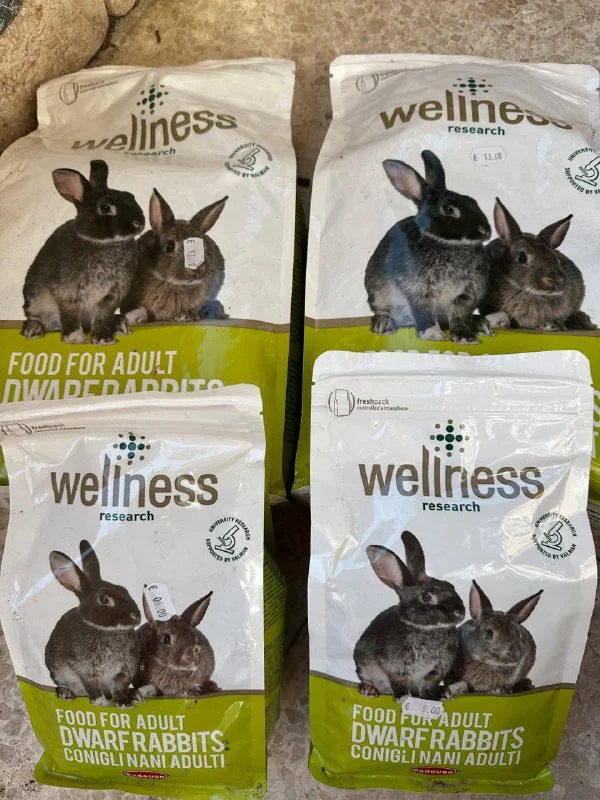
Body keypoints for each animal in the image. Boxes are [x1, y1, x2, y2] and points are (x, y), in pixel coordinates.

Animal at [21, 160, 145, 345]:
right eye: (105, 208)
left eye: (131, 196)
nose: (139, 223)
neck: (104, 242)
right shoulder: (67, 292)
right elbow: (70, 314)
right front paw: (75, 338)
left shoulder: (112, 295)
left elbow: (102, 316)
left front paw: (104, 338)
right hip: (34, 298)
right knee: (35, 316)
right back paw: (33, 330)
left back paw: (121, 323)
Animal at [45, 540, 141, 707]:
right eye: (104, 599)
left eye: (124, 590)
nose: (136, 617)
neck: (107, 631)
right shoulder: (85, 669)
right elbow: (91, 686)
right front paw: (101, 703)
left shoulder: (124, 670)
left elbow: (119, 687)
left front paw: (123, 701)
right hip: (57, 671)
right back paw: (65, 693)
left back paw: (134, 694)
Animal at [122, 190, 228, 324]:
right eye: (170, 246)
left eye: (204, 247)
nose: (197, 271)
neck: (175, 284)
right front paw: (134, 317)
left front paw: (185, 316)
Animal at [353, 530, 465, 702]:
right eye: (426, 597)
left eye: (451, 586)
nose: (461, 612)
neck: (425, 629)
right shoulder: (395, 666)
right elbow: (398, 681)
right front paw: (404, 698)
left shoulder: (436, 670)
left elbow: (428, 684)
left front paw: (431, 697)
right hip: (364, 666)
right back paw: (369, 690)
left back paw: (444, 692)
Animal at [365, 150, 493, 344]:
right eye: (448, 209)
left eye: (473, 201)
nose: (486, 231)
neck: (447, 244)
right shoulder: (418, 290)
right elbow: (424, 312)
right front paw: (433, 335)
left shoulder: (466, 296)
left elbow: (459, 316)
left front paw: (465, 337)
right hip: (377, 291)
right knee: (382, 309)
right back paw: (383, 324)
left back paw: (480, 324)